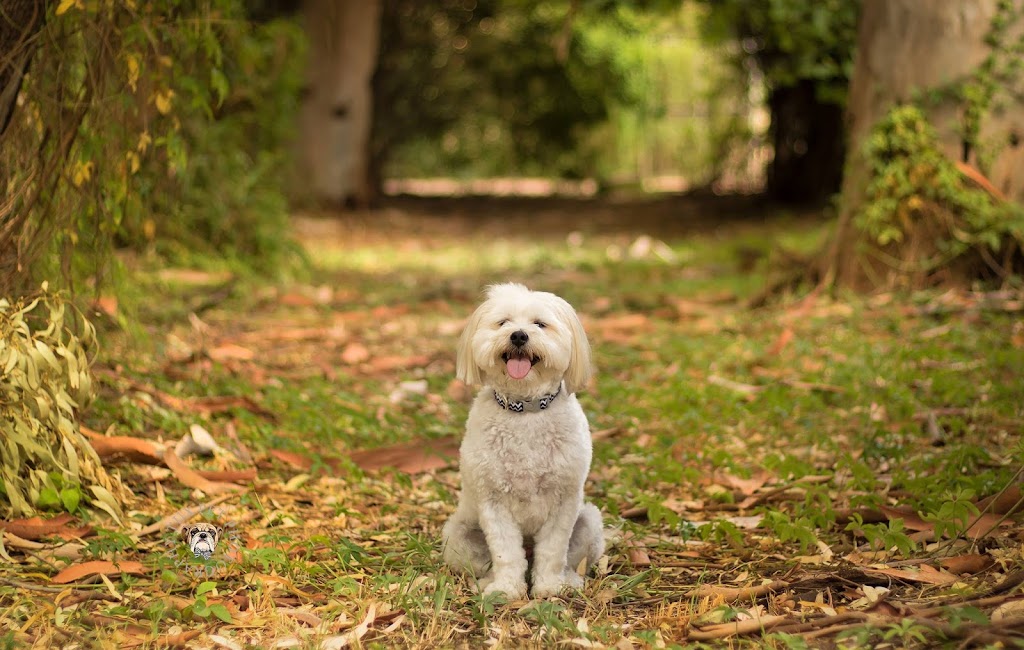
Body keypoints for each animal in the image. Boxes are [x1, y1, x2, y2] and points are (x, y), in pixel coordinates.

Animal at [442, 284, 602, 601]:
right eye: (503, 322)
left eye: (540, 324)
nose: (518, 335)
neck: (525, 409)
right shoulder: (493, 501)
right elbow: (506, 553)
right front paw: (506, 589)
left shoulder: (563, 501)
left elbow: (553, 551)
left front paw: (549, 586)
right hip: (458, 535)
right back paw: (487, 581)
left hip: (589, 522)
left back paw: (569, 579)